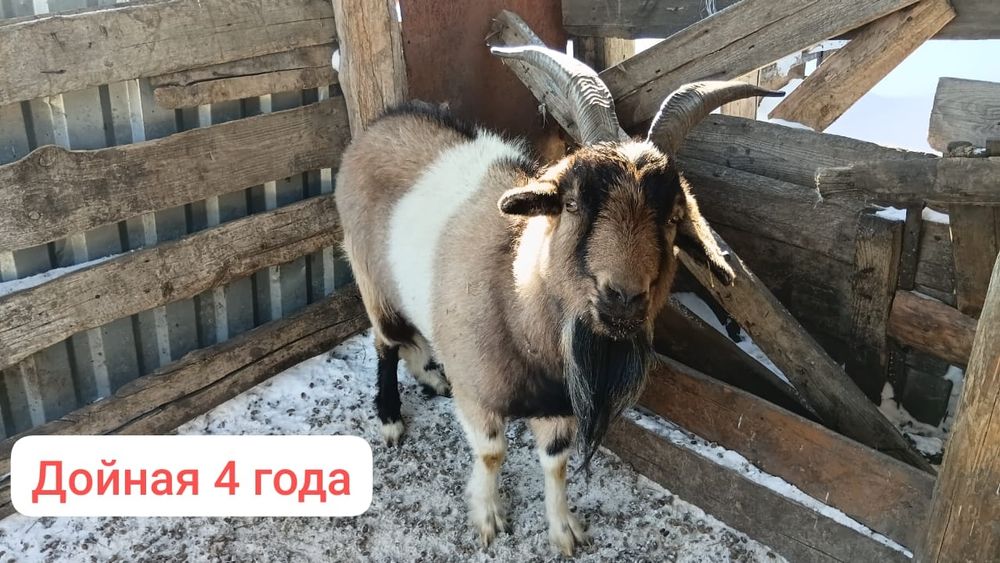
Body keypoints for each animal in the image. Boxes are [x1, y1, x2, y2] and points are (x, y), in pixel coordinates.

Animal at [334, 45, 780, 555]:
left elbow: (555, 463)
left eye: (671, 218)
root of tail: (382, 122)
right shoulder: (479, 394)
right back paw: (390, 416)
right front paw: (488, 517)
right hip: (371, 278)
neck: (514, 294)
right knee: (385, 343)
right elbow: (491, 454)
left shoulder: (559, 406)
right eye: (572, 203)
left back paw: (429, 375)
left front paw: (563, 530)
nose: (622, 297)